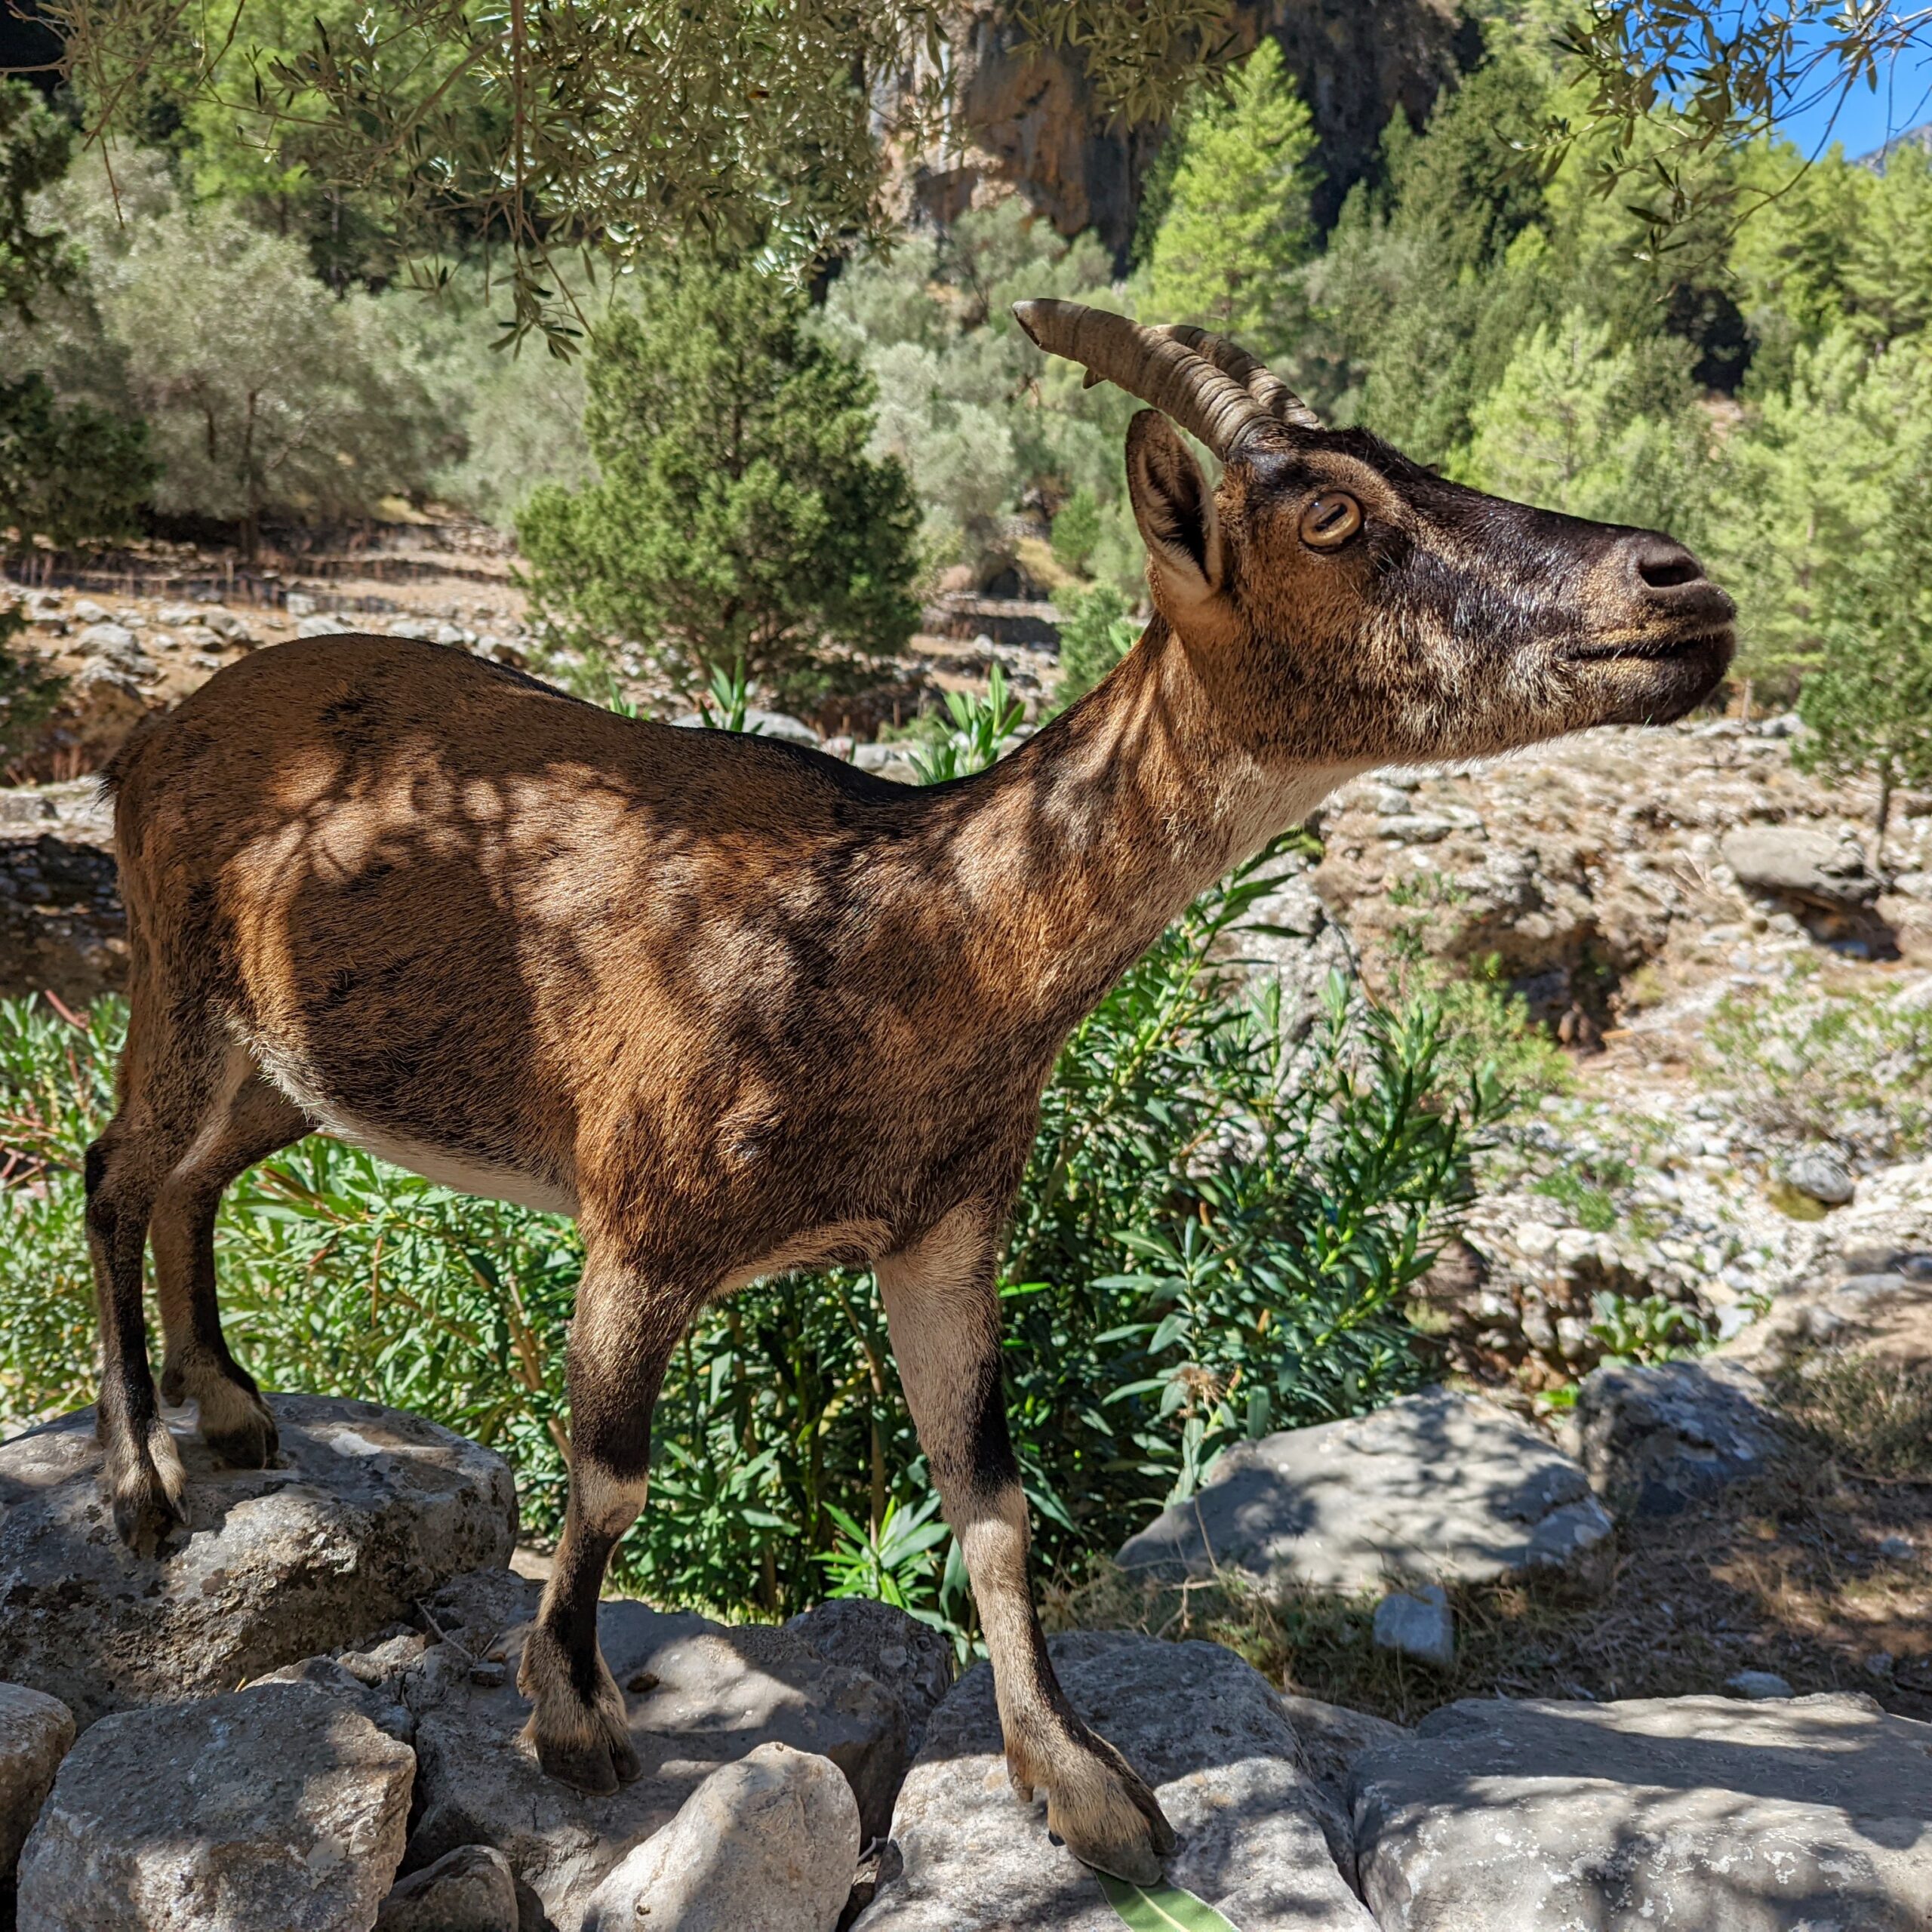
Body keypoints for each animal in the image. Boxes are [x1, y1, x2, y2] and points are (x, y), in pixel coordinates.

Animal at [83, 305, 1730, 1885]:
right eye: (1330, 513)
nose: (1681, 584)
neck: (901, 944)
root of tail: (152, 735)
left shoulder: (941, 1229)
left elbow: (990, 1504)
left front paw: (1085, 1786)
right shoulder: (642, 1225)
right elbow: (611, 1477)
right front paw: (575, 1717)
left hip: (297, 1062)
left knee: (195, 1177)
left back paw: (231, 1407)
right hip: (177, 977)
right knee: (115, 1170)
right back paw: (146, 1480)